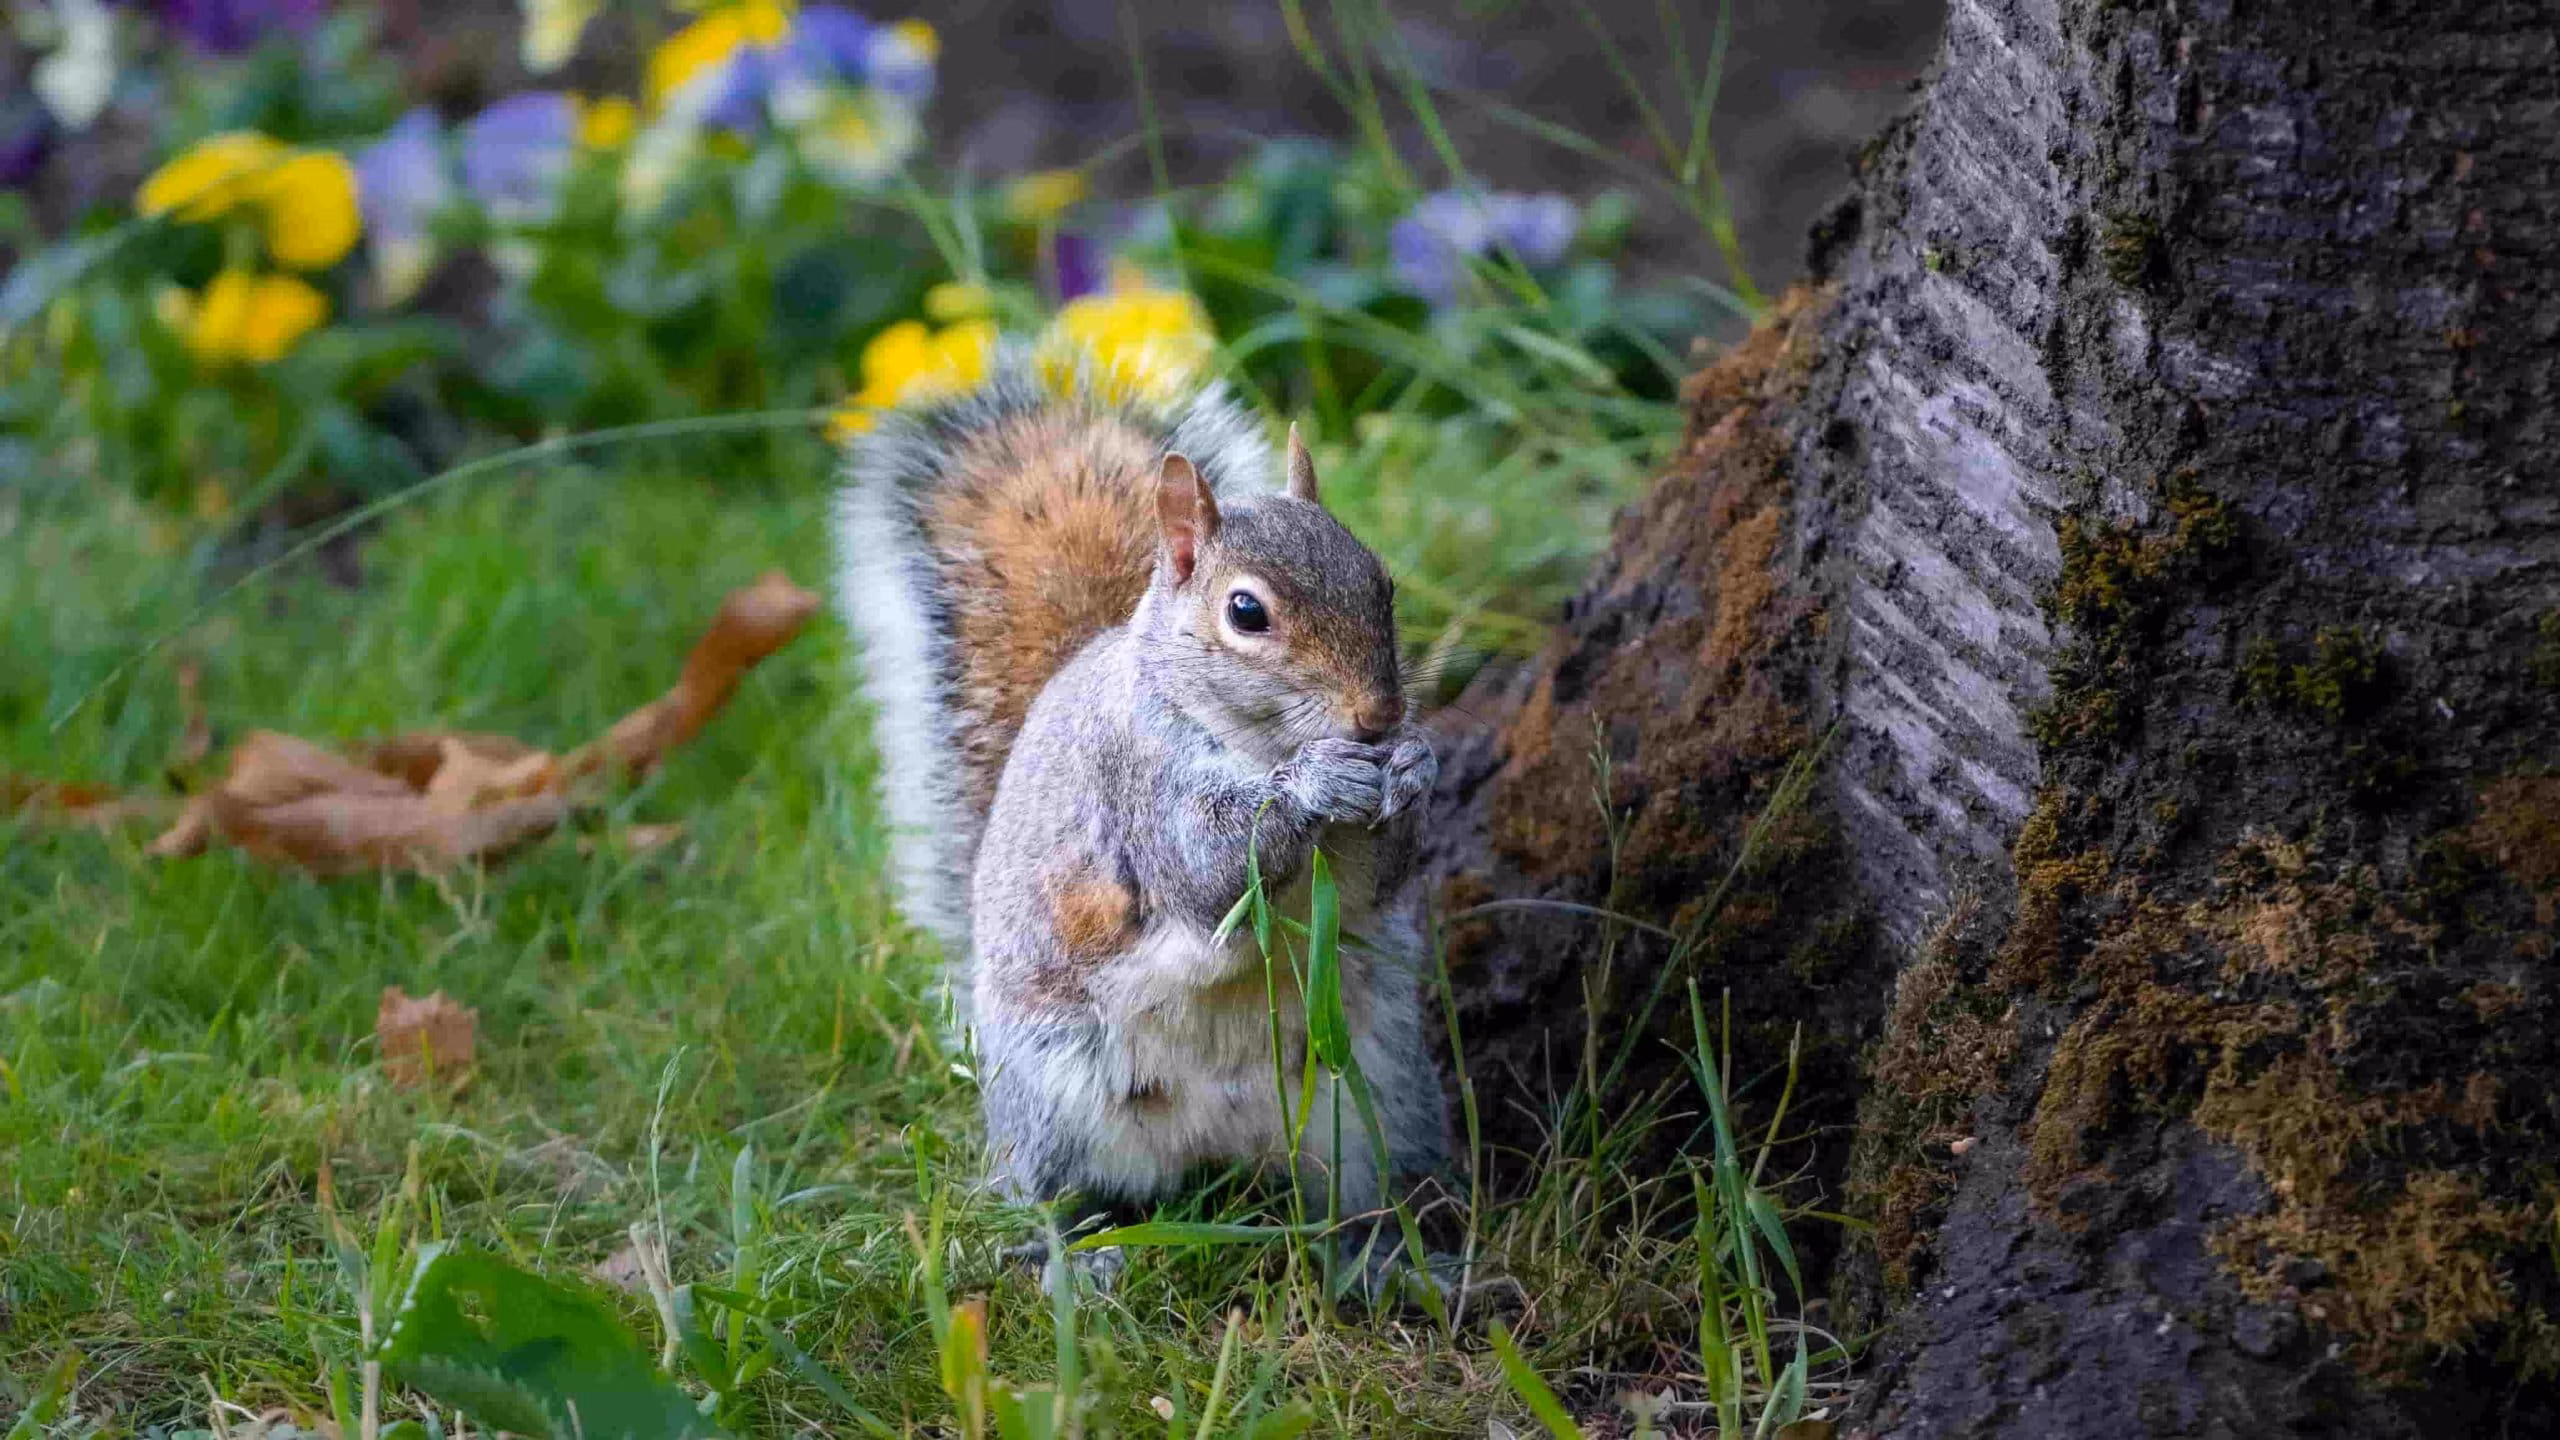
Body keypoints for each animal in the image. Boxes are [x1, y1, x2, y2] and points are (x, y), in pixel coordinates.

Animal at [833, 354, 1450, 1276]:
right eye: (1246, 612)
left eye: (1384, 584)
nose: (1377, 718)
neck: (1249, 738)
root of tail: (1222, 1141)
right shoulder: (1138, 782)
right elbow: (1209, 871)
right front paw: (1313, 783)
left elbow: (1381, 879)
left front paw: (1414, 766)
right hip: (1056, 1100)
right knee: (1054, 1196)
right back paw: (1078, 1262)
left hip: (1370, 1097)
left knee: (1351, 1197)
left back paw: (1383, 1264)